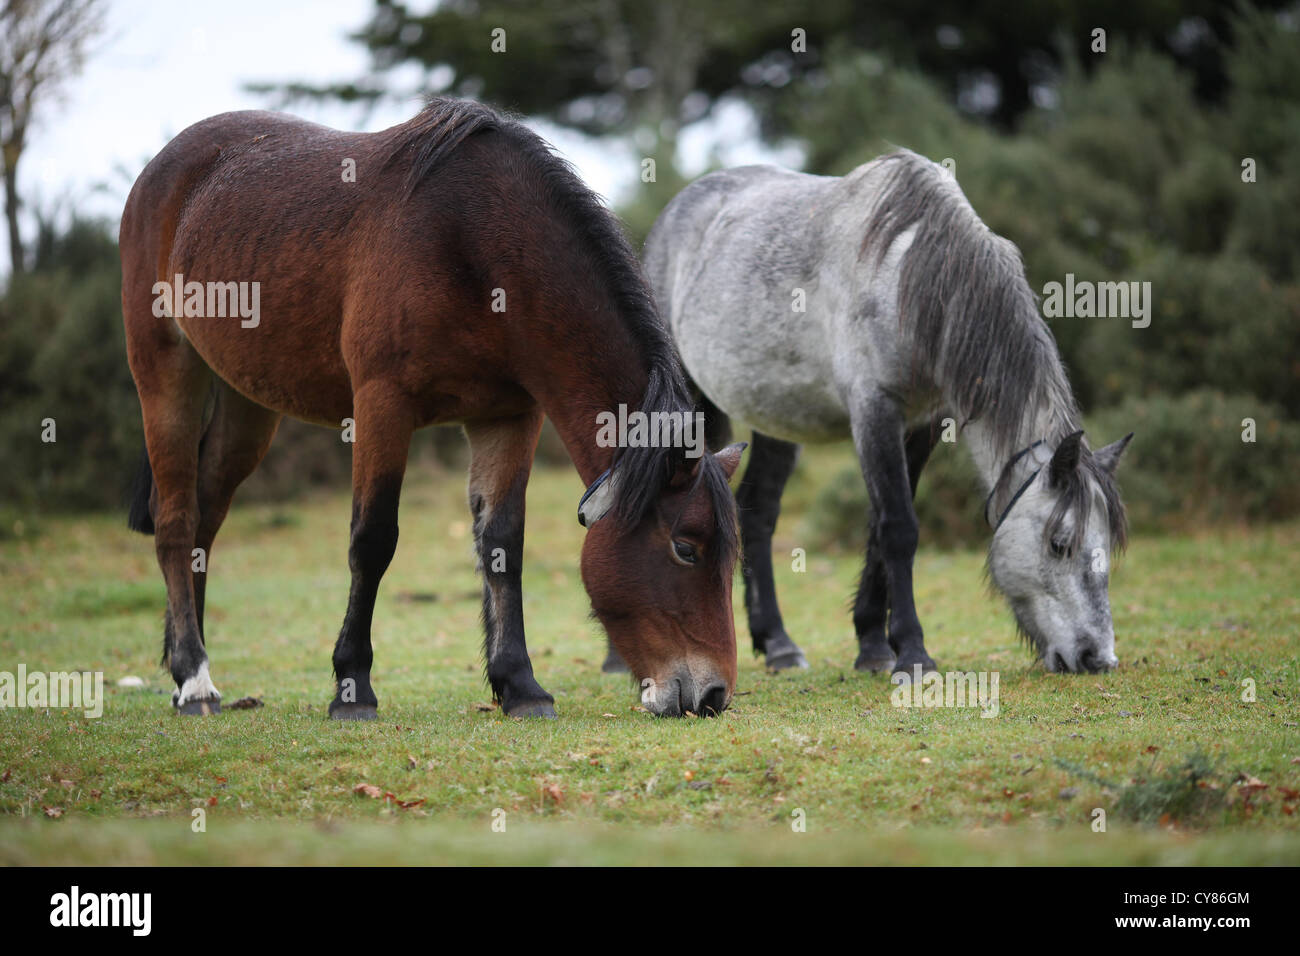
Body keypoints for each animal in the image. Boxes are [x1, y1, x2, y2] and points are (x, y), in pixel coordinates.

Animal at [120, 98, 745, 719]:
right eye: (686, 549)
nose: (713, 694)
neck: (473, 243)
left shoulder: (508, 416)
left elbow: (502, 544)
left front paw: (519, 684)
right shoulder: (382, 405)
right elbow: (372, 540)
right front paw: (352, 686)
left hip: (247, 403)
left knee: (206, 521)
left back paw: (186, 665)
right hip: (165, 374)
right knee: (177, 521)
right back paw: (194, 678)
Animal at [642, 148, 1132, 676]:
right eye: (1059, 542)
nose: (1097, 657)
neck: (909, 275)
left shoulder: (924, 424)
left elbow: (880, 527)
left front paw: (874, 644)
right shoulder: (874, 410)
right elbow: (898, 527)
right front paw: (913, 652)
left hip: (776, 418)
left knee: (758, 515)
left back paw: (778, 644)